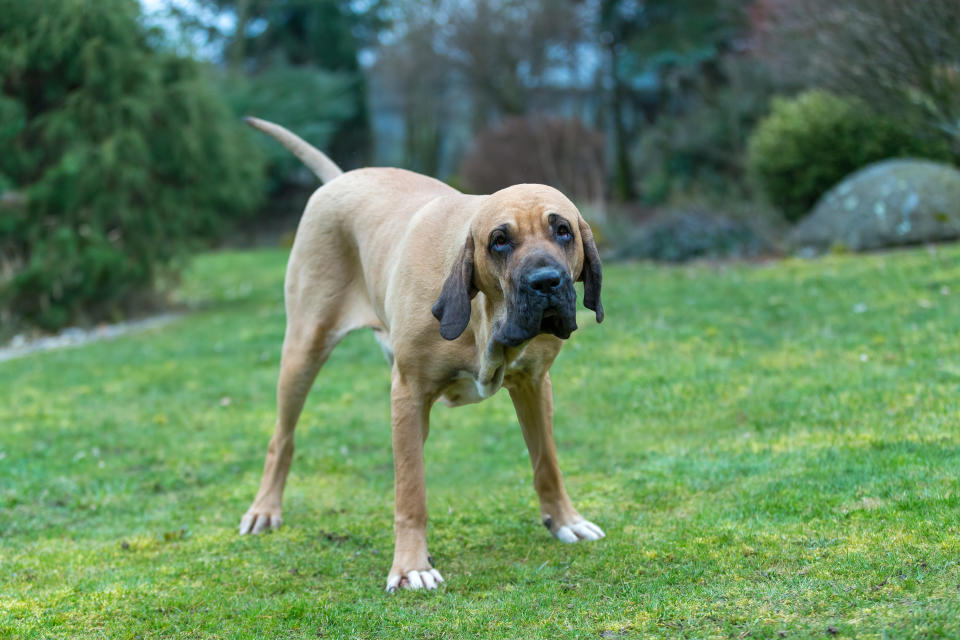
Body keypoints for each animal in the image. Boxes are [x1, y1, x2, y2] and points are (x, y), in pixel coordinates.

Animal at [236, 117, 604, 592]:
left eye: (563, 231)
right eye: (499, 241)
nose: (546, 282)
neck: (484, 316)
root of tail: (340, 178)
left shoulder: (534, 384)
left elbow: (547, 461)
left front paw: (564, 520)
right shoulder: (408, 393)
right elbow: (411, 491)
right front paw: (411, 565)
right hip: (303, 349)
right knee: (281, 438)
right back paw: (265, 508)